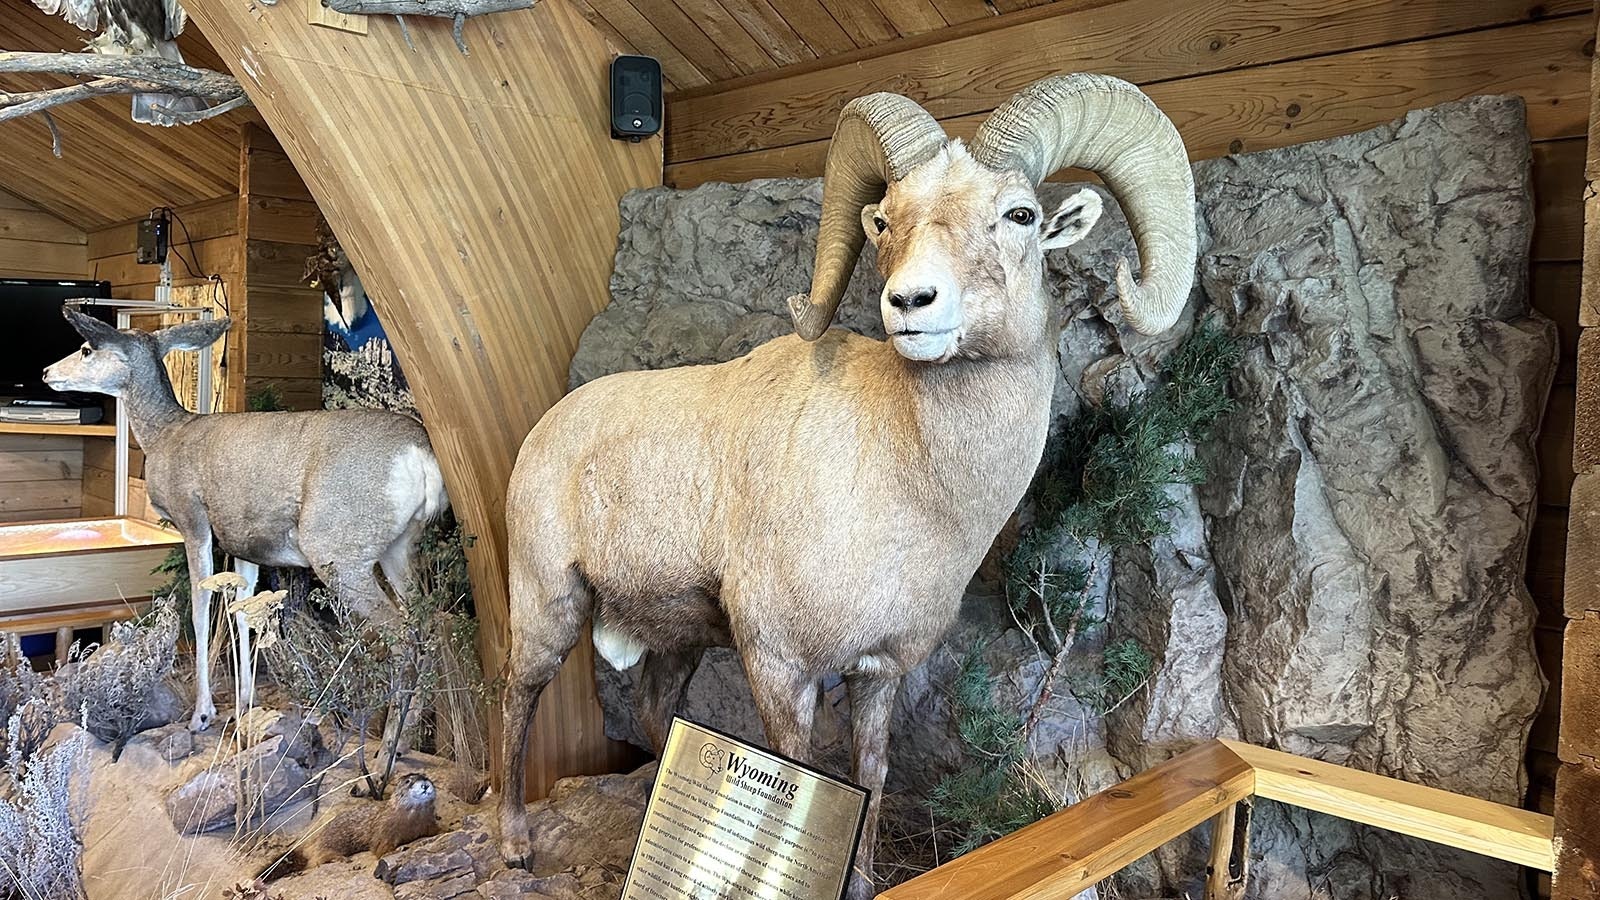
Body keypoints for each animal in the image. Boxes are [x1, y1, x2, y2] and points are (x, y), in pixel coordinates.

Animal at [497, 74, 1196, 899]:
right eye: (886, 219)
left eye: (1021, 214)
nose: (912, 304)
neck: (907, 491)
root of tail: (546, 430)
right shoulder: (781, 667)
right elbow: (791, 783)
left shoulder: (878, 674)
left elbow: (871, 773)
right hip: (548, 605)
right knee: (517, 698)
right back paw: (513, 846)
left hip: (677, 640)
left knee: (650, 712)